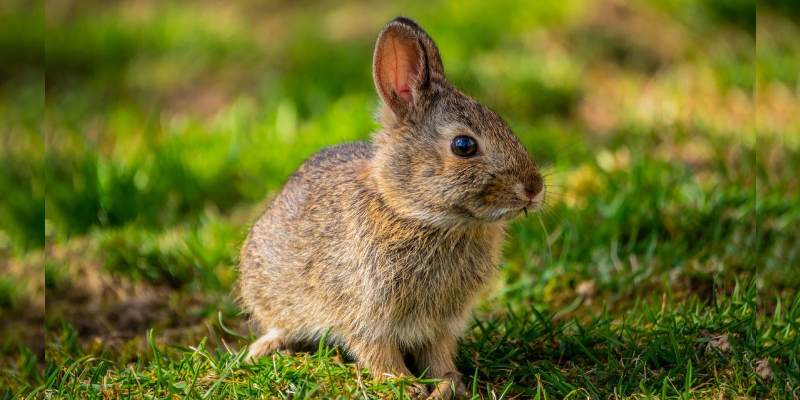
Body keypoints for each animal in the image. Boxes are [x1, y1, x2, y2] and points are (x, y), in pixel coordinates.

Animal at [238, 16, 548, 400]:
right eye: (464, 145)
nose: (534, 188)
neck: (413, 214)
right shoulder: (365, 314)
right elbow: (377, 352)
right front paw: (404, 384)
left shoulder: (441, 323)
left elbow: (438, 353)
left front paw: (449, 384)